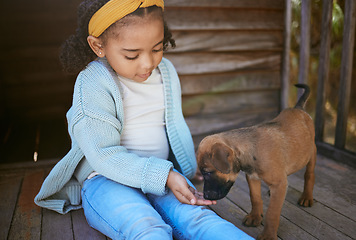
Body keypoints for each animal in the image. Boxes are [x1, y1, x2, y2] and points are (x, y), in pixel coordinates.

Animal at [196, 83, 316, 239]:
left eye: (208, 172)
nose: (205, 196)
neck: (251, 152)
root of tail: (298, 108)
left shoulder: (276, 183)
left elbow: (272, 213)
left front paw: (268, 235)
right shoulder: (252, 178)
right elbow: (255, 198)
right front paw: (255, 217)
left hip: (311, 153)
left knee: (309, 174)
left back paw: (307, 196)